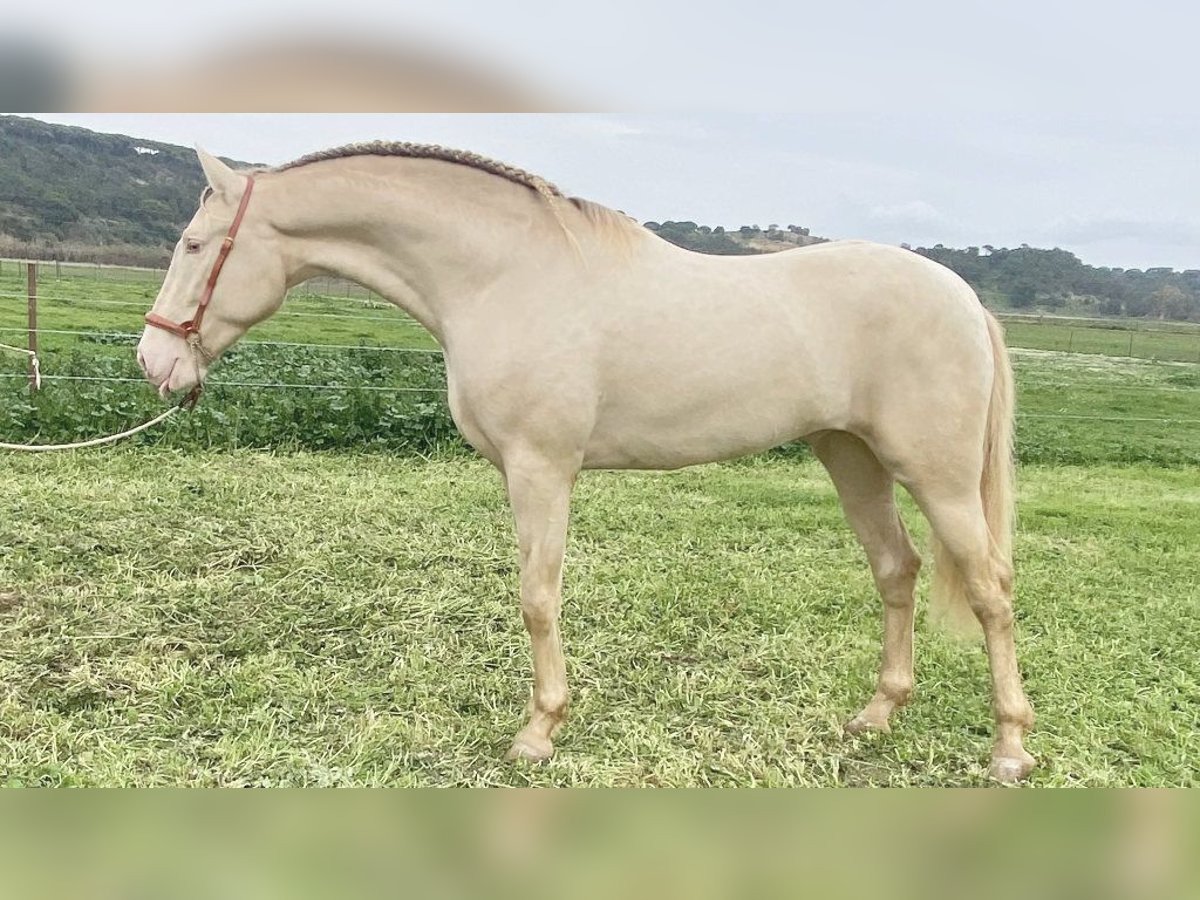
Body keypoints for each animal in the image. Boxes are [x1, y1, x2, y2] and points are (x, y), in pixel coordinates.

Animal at [136, 141, 1036, 782]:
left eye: (193, 244)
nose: (154, 361)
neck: (503, 274)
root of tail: (962, 296)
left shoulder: (542, 470)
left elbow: (539, 598)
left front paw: (539, 732)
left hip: (938, 476)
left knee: (990, 590)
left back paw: (1010, 749)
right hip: (852, 459)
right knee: (896, 570)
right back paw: (876, 717)